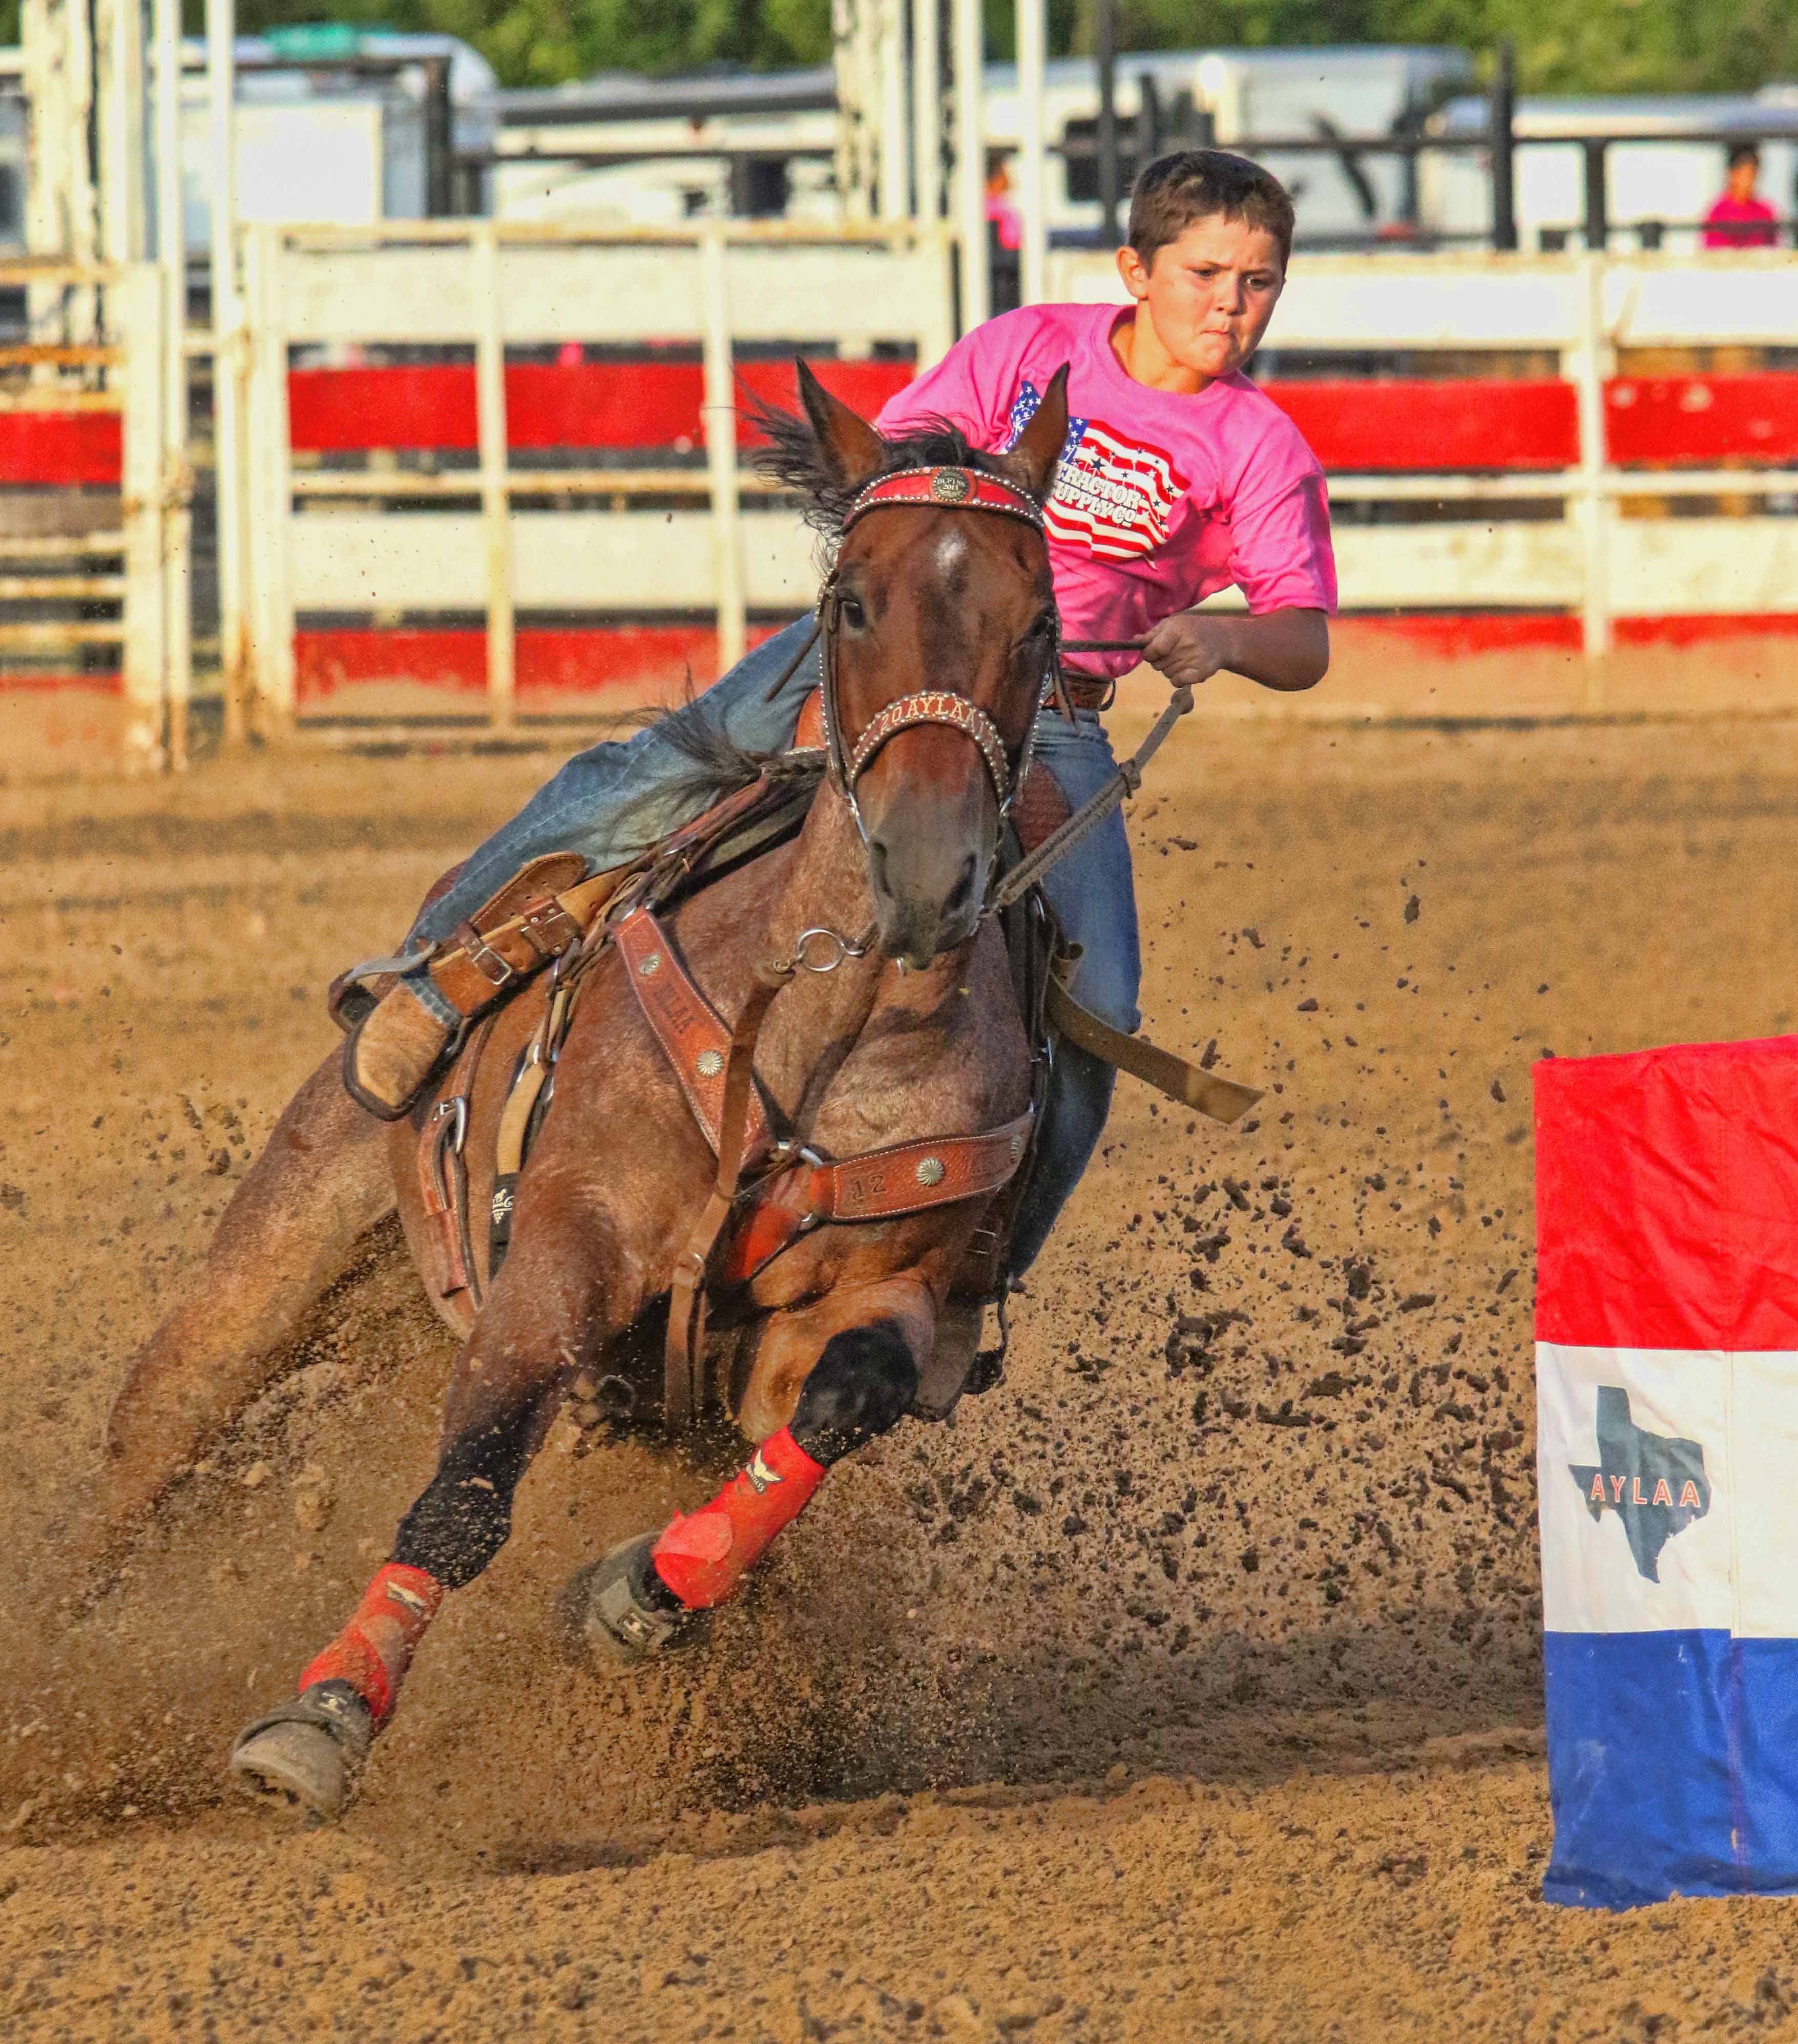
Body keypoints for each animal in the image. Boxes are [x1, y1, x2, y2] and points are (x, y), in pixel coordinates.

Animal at [88, 360, 1080, 1815]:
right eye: (852, 601)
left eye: (1040, 618)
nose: (925, 871)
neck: (821, 1040)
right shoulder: (567, 1243)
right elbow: (463, 1495)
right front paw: (321, 1717)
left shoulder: (880, 1293)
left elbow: (831, 1413)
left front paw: (639, 1597)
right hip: (284, 1245)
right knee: (151, 1433)